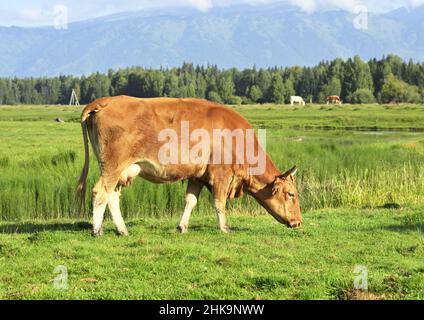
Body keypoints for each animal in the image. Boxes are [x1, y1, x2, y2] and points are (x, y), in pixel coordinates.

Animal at [76, 95, 302, 235]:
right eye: (291, 194)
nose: (298, 221)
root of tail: (106, 101)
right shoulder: (221, 175)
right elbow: (219, 203)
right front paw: (224, 228)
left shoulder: (198, 176)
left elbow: (190, 201)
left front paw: (182, 226)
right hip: (112, 167)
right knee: (100, 193)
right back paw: (97, 230)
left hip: (121, 171)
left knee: (112, 197)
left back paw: (122, 230)